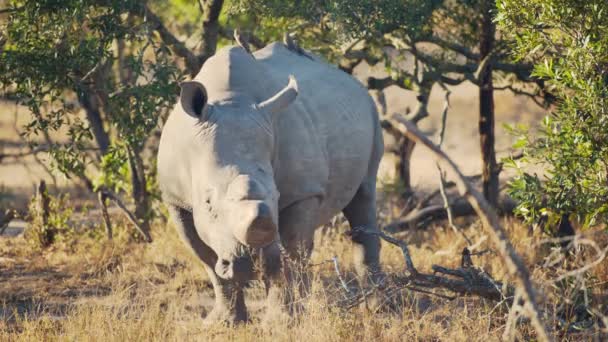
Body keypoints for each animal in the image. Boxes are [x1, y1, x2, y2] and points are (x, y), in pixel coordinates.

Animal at [158, 38, 384, 324]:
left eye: (276, 196)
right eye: (208, 203)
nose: (249, 265)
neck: (230, 99)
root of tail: (349, 79)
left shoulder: (303, 192)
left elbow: (290, 255)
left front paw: (281, 322)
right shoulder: (176, 200)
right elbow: (207, 259)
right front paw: (223, 322)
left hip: (371, 112)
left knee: (364, 194)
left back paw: (376, 308)